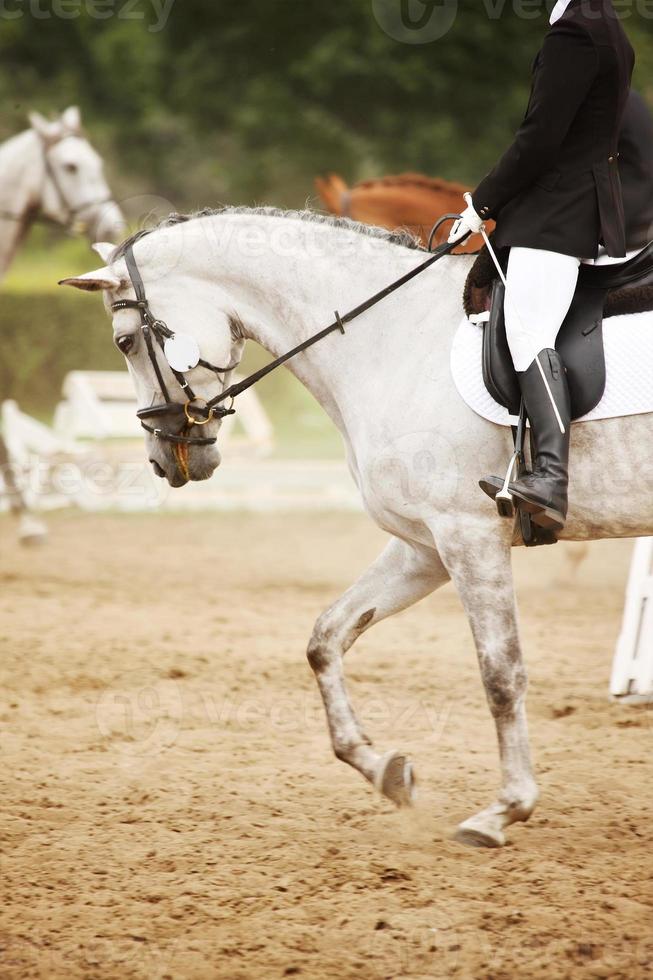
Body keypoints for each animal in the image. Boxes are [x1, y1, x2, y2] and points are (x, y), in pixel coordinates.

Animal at [62, 209, 652, 848]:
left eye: (124, 342)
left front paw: (505, 809)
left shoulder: (468, 536)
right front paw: (386, 771)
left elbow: (501, 673)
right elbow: (326, 638)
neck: (393, 338)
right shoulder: (425, 547)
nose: (161, 461)